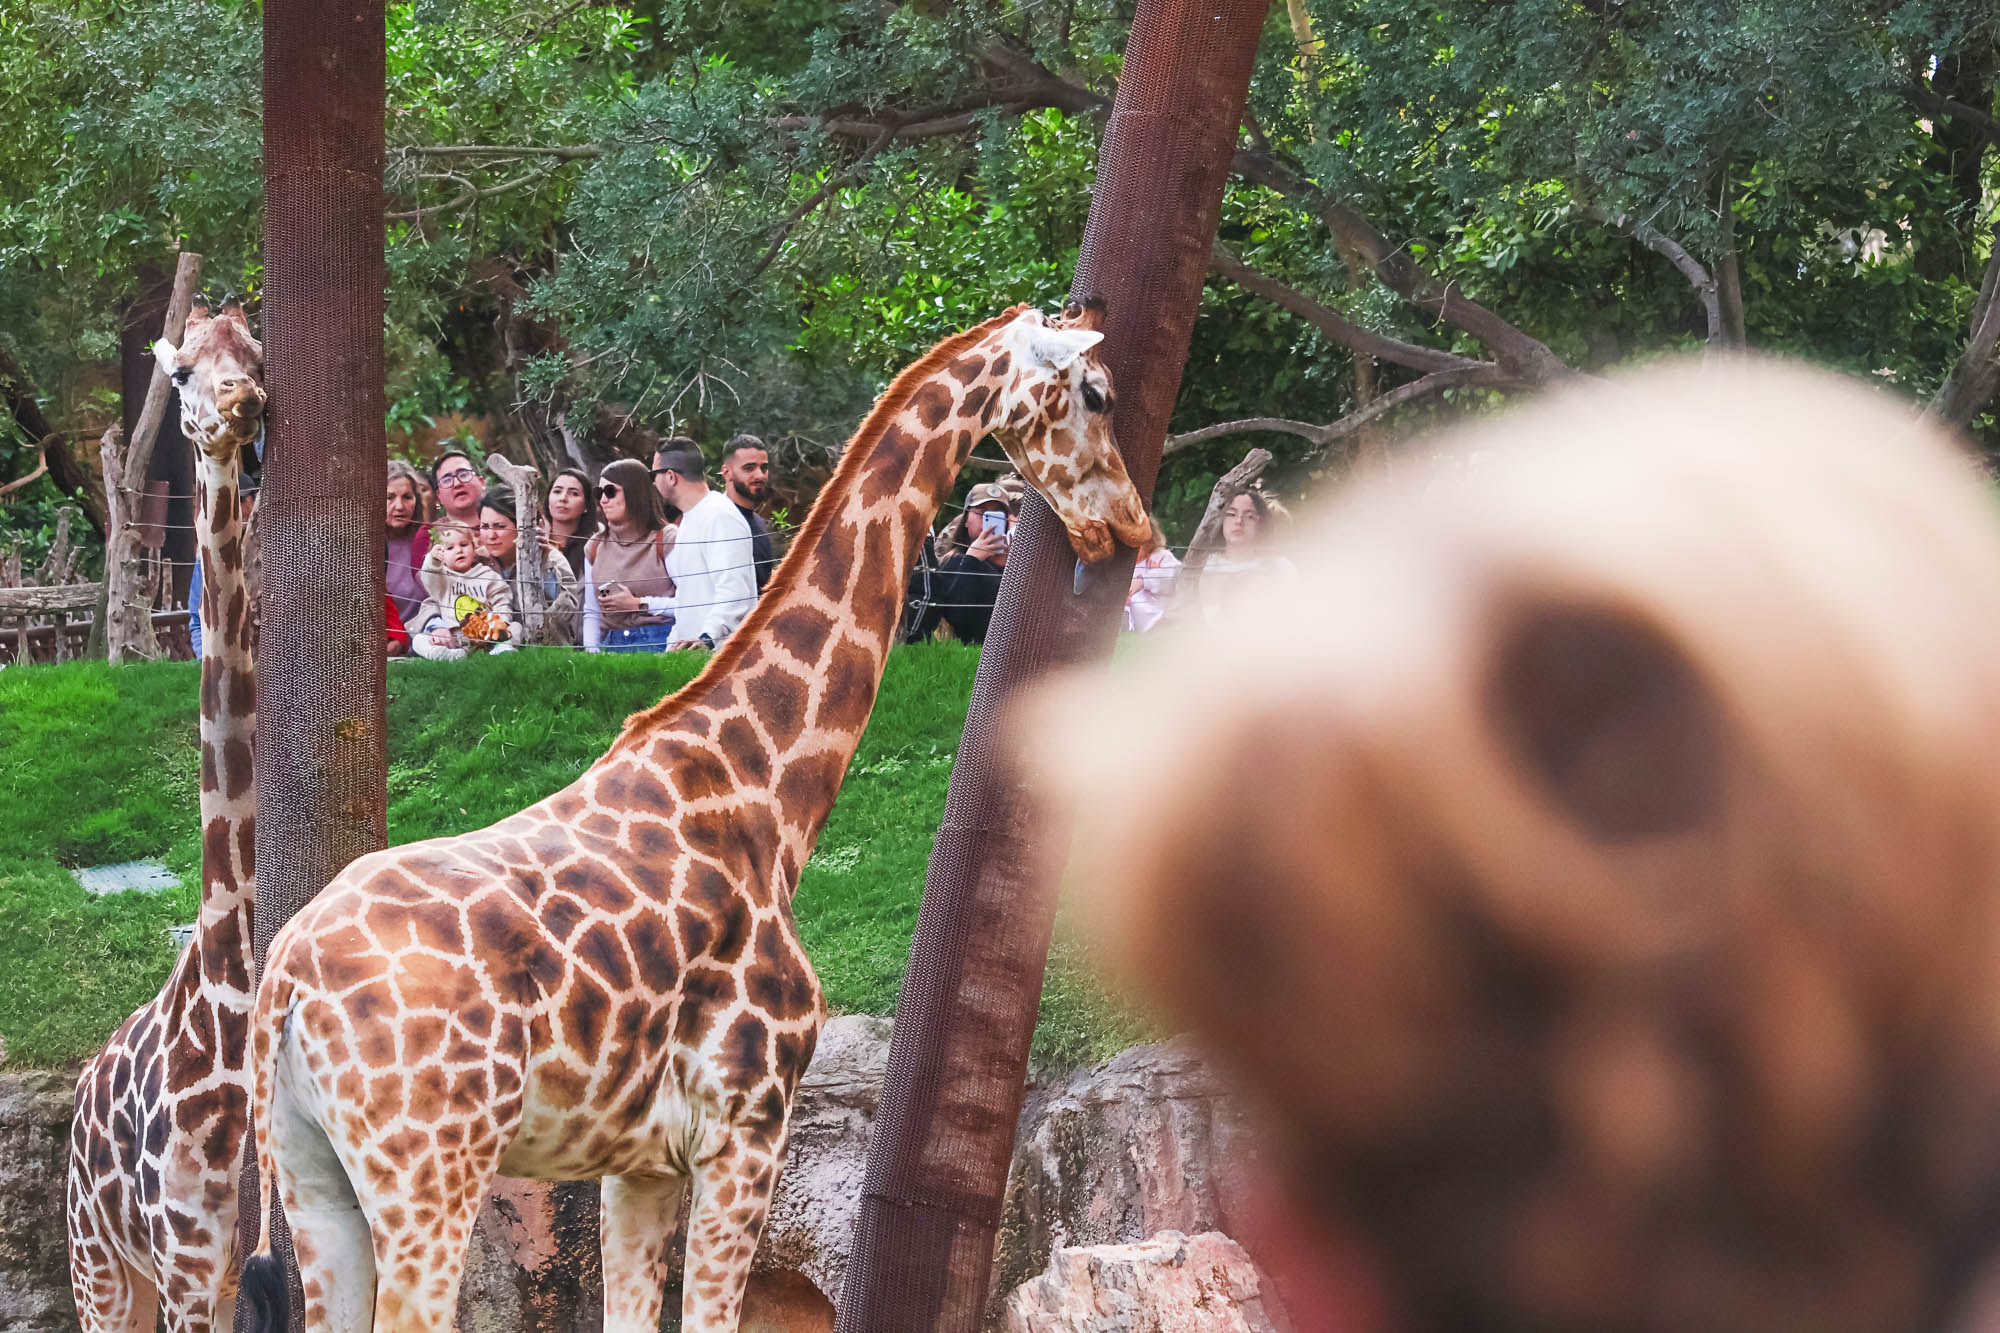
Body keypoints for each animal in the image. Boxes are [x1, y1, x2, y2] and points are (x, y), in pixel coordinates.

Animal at [235, 302, 1149, 1333]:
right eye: (1098, 394)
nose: (1131, 526)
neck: (767, 793)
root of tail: (285, 985)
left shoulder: (635, 1162)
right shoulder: (747, 1125)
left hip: (314, 1181)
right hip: (432, 1166)